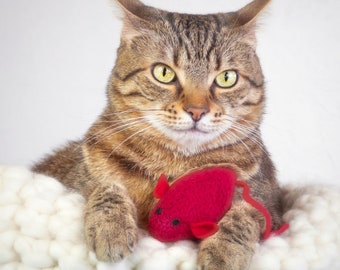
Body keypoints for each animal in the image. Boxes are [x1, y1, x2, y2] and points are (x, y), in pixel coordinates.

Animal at [33, 0, 284, 268]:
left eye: (227, 78)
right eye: (164, 73)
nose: (197, 111)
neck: (175, 163)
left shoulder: (270, 206)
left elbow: (244, 215)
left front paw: (224, 253)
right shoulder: (75, 180)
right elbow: (106, 186)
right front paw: (110, 227)